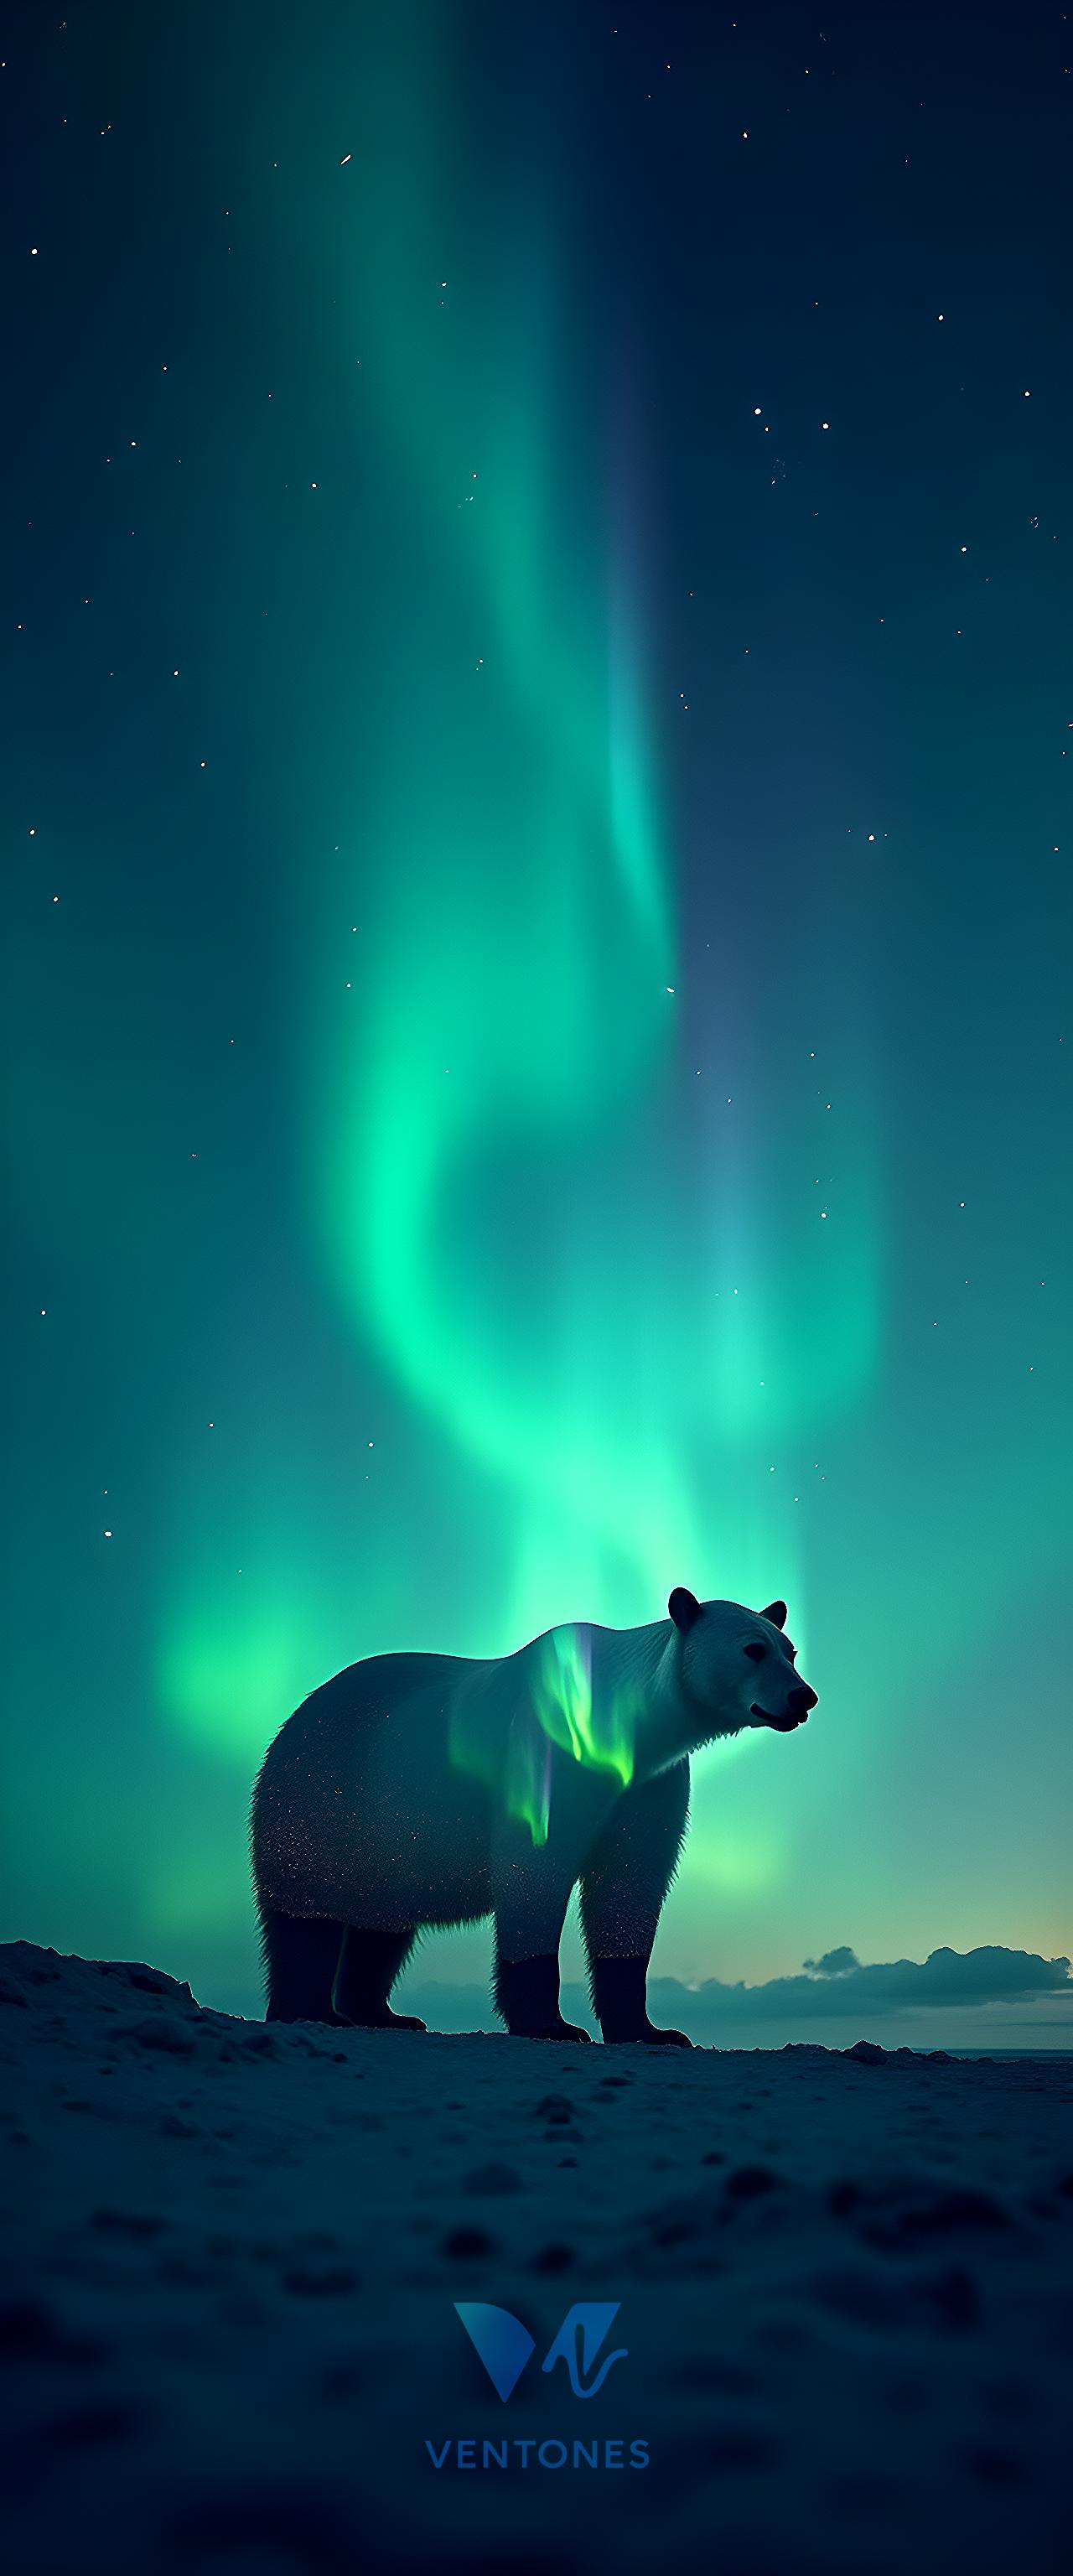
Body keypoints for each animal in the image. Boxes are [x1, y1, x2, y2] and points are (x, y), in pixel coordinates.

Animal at [250, 1589, 817, 2046]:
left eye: (789, 1650)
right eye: (753, 1649)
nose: (803, 1697)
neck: (626, 1726)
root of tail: (302, 1709)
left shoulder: (649, 1785)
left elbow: (632, 1885)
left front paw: (652, 2031)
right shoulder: (550, 1757)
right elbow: (535, 1874)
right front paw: (552, 2025)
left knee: (382, 1920)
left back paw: (383, 2014)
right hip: (326, 1792)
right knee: (307, 1905)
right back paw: (309, 2009)